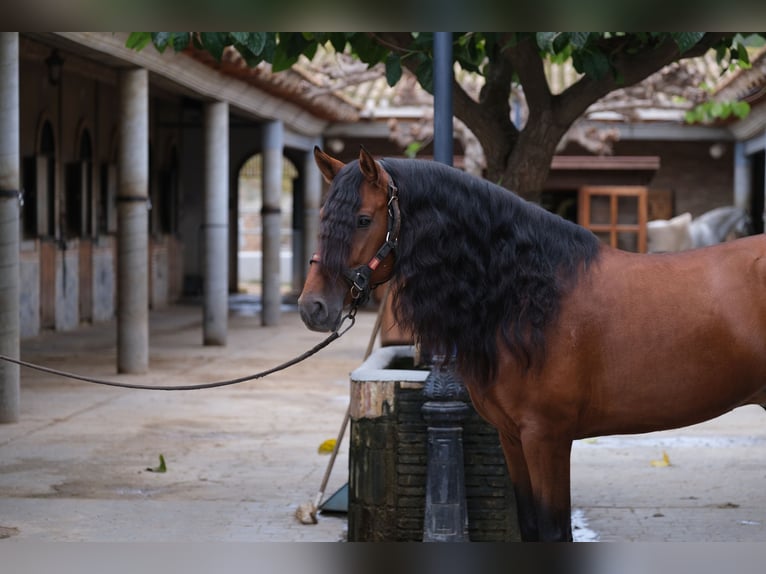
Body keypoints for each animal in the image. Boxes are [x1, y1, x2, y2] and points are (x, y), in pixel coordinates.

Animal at [296, 146, 766, 544]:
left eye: (362, 218)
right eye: (322, 216)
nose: (313, 307)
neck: (530, 294)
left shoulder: (548, 438)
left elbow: (555, 533)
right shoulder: (512, 437)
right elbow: (530, 529)